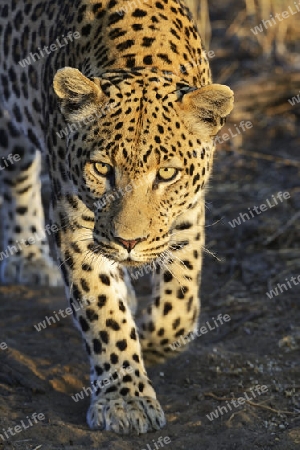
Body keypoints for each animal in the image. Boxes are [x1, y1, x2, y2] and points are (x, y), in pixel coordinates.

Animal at [0, 0, 233, 436]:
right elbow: (104, 314)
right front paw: (125, 399)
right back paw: (26, 257)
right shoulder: (75, 224)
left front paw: (156, 341)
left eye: (167, 174)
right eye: (102, 168)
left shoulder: (188, 213)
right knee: (15, 172)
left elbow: (178, 302)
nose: (129, 242)